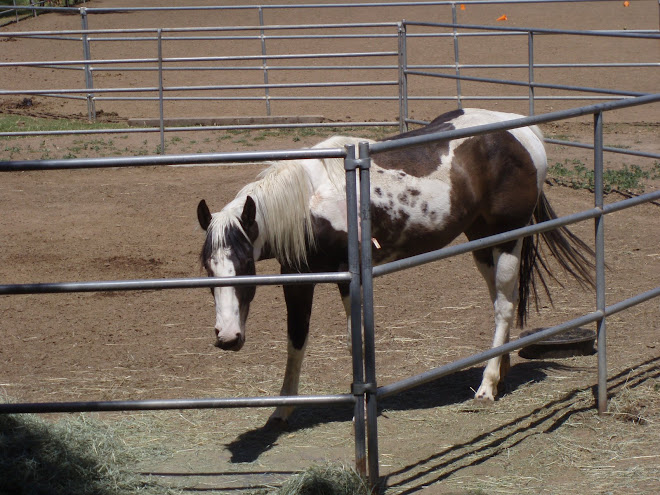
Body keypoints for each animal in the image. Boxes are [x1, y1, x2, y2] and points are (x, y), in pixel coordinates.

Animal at [196, 108, 592, 426]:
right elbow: (296, 339)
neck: (309, 201)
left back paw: (487, 387)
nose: (228, 338)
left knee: (505, 306)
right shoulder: (297, 277)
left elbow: (355, 336)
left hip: (509, 239)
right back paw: (500, 373)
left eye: (246, 265)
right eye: (208, 270)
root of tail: (523, 132)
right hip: (482, 242)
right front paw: (282, 410)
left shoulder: (347, 276)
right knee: (498, 301)